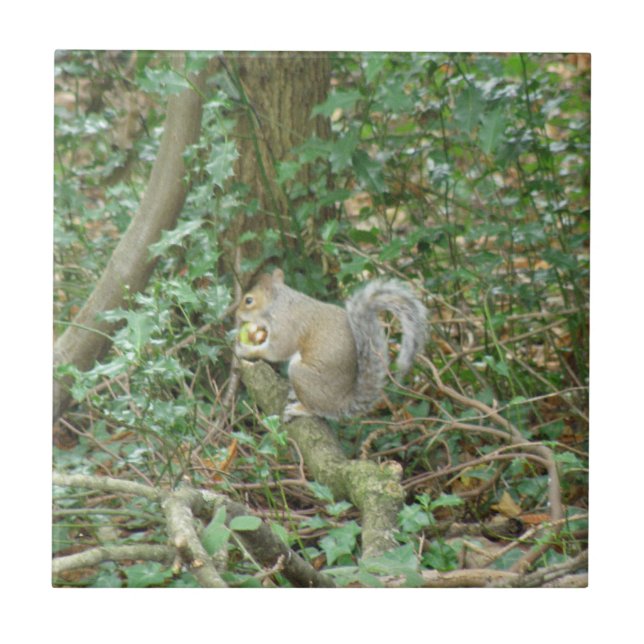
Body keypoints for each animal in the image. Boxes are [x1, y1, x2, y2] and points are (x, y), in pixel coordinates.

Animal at [235, 268, 427, 421]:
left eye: (249, 300)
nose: (236, 314)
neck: (279, 304)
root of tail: (341, 402)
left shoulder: (287, 326)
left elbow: (277, 350)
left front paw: (247, 350)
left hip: (301, 375)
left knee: (317, 410)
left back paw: (300, 409)